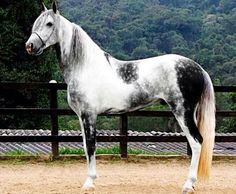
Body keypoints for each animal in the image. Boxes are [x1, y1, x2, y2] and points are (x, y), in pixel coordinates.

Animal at [26, 1, 216, 194]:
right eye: (36, 23)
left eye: (49, 24)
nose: (30, 46)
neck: (85, 67)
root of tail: (199, 68)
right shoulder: (81, 116)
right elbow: (86, 147)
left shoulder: (90, 115)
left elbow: (91, 145)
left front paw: (89, 182)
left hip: (182, 112)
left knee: (196, 142)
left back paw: (188, 185)